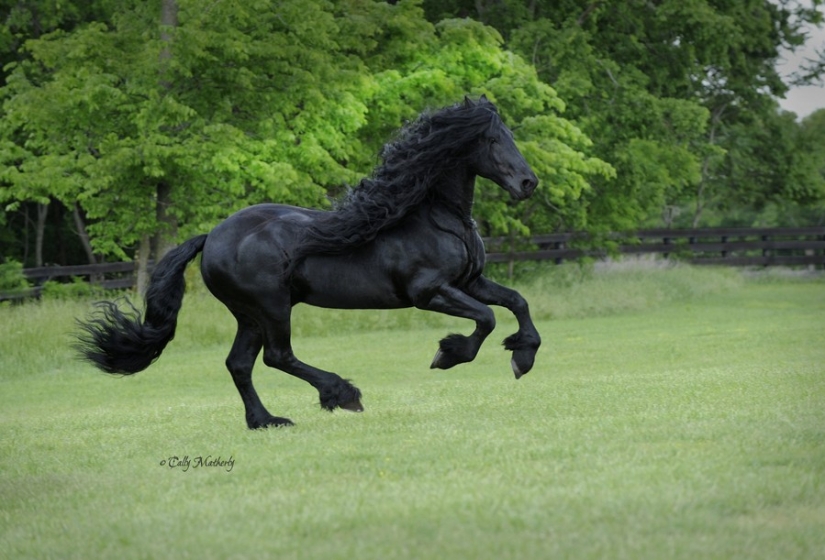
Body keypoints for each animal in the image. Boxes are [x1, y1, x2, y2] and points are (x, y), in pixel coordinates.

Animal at [76, 96, 542, 429]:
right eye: (492, 140)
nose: (528, 183)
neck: (434, 217)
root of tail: (213, 236)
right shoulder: (429, 293)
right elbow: (486, 319)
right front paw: (448, 354)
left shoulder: (471, 281)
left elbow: (516, 302)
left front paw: (523, 357)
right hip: (272, 308)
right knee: (277, 357)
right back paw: (342, 394)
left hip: (249, 316)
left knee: (239, 364)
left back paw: (265, 421)